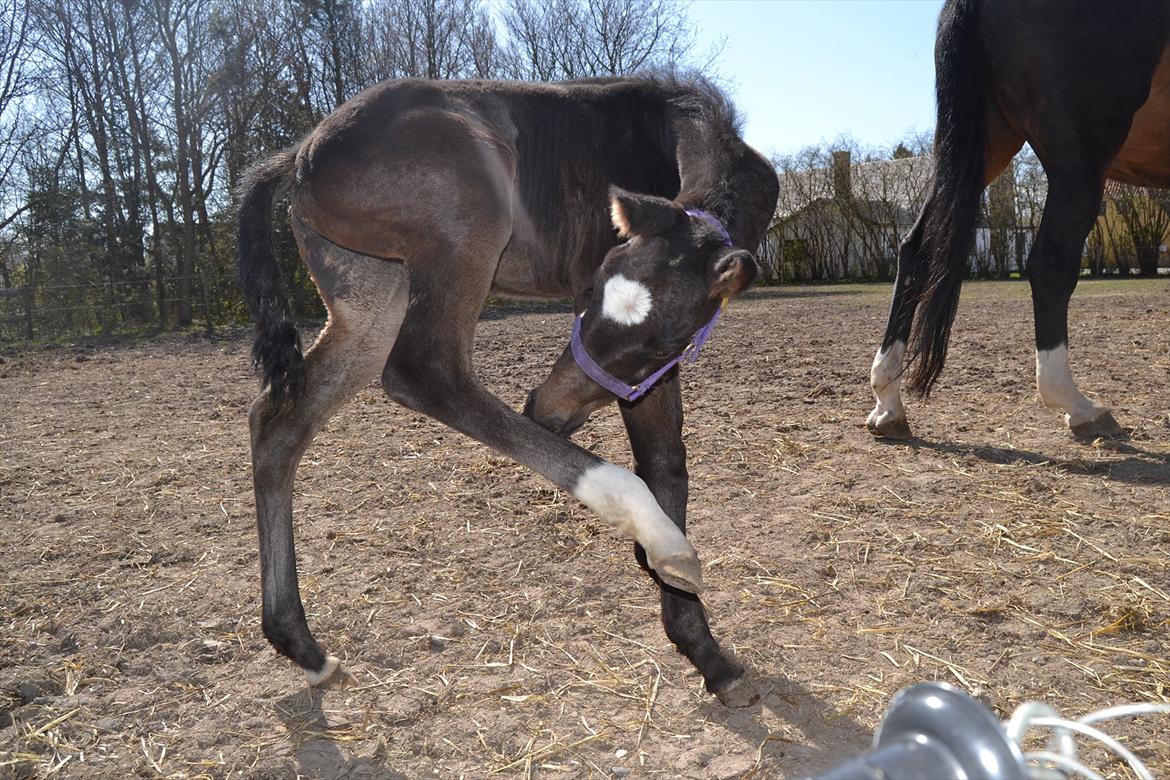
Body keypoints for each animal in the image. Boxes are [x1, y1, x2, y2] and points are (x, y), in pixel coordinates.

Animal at [236, 77, 776, 706]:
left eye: (667, 339)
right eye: (590, 287)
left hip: (370, 293)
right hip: (468, 225)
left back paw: (302, 647)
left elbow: (670, 462)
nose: (543, 407)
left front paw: (693, 634)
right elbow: (663, 463)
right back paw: (651, 527)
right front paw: (696, 633)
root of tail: (299, 153)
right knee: (425, 372)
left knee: (278, 422)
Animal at [865, 0, 1165, 439]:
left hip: (984, 146)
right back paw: (1078, 406)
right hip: (1078, 165)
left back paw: (888, 401)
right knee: (1050, 266)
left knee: (916, 250)